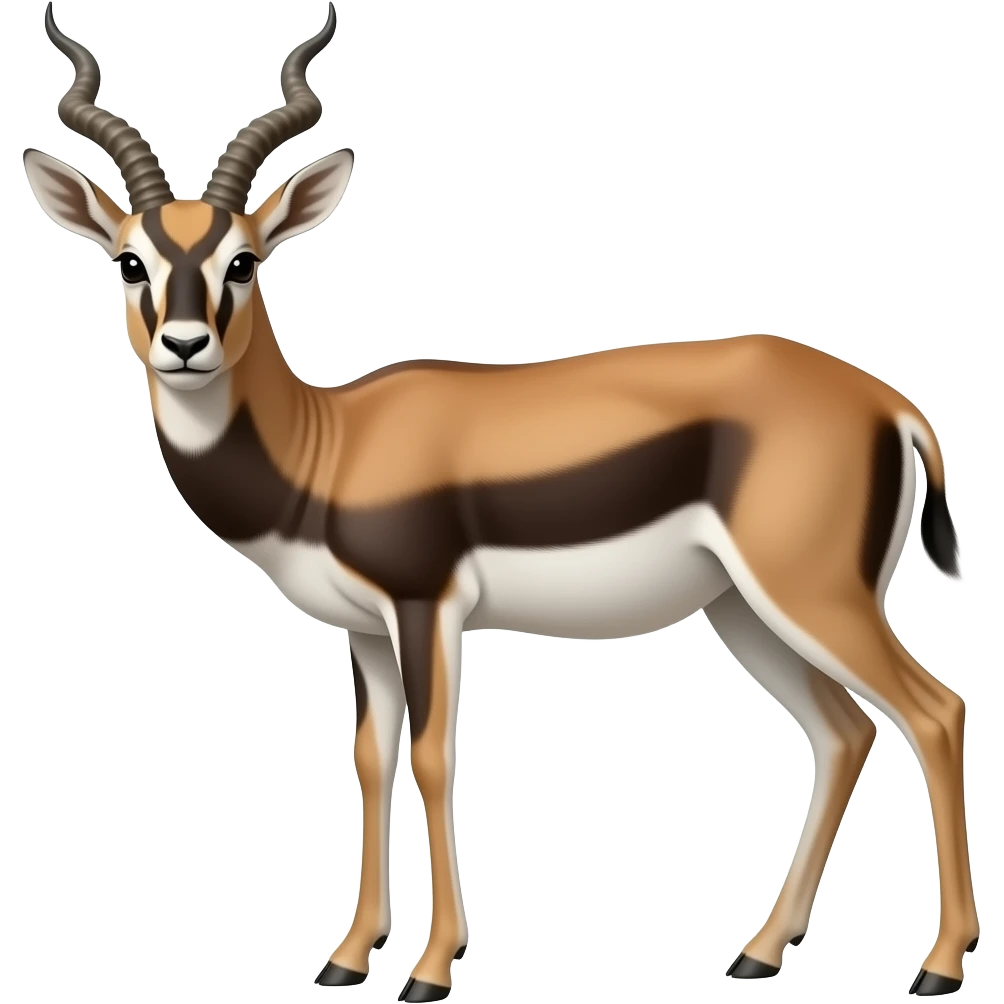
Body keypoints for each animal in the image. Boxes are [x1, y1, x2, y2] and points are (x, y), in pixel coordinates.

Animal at [23, 5, 975, 1001]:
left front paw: (432, 968)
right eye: (131, 262)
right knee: (844, 732)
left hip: (812, 594)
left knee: (933, 711)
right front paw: (348, 957)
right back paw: (758, 952)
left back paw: (939, 965)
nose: (184, 345)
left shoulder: (426, 605)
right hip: (744, 610)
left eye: (243, 260)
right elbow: (371, 760)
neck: (331, 443)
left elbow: (434, 756)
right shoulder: (365, 631)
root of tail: (890, 404)